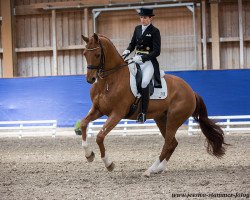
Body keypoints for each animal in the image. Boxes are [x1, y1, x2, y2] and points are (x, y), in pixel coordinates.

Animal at [80, 33, 227, 177]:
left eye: (97, 54)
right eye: (85, 54)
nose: (90, 79)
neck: (110, 80)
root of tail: (191, 91)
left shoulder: (117, 114)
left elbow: (100, 136)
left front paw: (108, 164)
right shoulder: (98, 110)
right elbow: (83, 124)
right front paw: (89, 155)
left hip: (174, 119)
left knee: (167, 143)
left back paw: (150, 170)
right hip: (161, 118)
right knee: (172, 143)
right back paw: (159, 168)